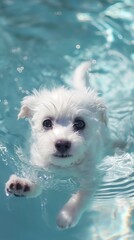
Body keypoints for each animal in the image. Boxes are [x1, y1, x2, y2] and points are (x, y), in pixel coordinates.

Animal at [5, 62, 108, 230]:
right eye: (46, 123)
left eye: (80, 123)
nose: (62, 143)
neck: (64, 167)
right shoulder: (40, 166)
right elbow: (37, 182)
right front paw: (23, 185)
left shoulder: (92, 176)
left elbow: (82, 195)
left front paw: (67, 215)